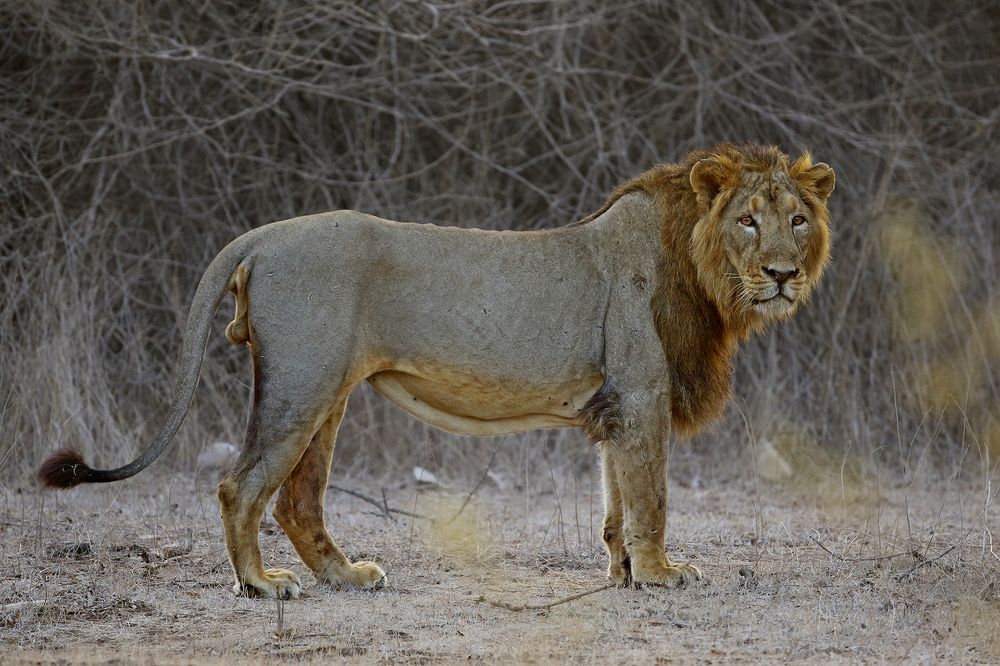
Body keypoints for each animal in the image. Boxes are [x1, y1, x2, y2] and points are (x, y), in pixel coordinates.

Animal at [39, 143, 834, 599]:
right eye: (748, 220)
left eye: (797, 219)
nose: (783, 274)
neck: (702, 270)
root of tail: (263, 235)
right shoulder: (642, 392)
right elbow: (652, 500)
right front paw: (664, 575)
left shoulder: (617, 403)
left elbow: (617, 501)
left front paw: (623, 575)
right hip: (304, 382)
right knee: (242, 485)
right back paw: (262, 585)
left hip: (329, 392)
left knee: (298, 500)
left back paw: (346, 577)